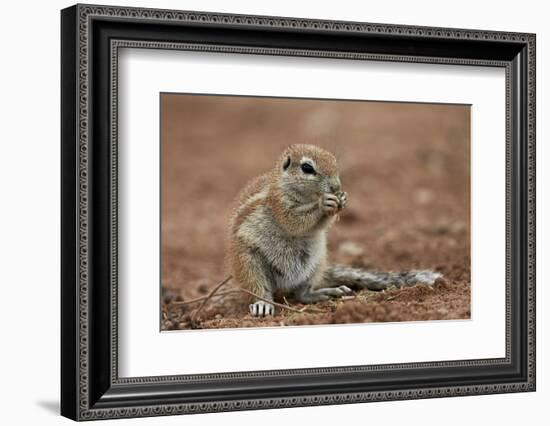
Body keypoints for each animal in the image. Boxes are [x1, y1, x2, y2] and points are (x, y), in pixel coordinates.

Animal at [226, 145, 442, 314]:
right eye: (307, 168)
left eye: (334, 161)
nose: (336, 186)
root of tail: (283, 287)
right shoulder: (279, 203)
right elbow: (294, 221)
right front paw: (323, 203)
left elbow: (320, 225)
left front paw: (342, 199)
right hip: (249, 263)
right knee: (259, 289)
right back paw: (262, 304)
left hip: (314, 263)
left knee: (301, 294)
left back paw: (323, 292)